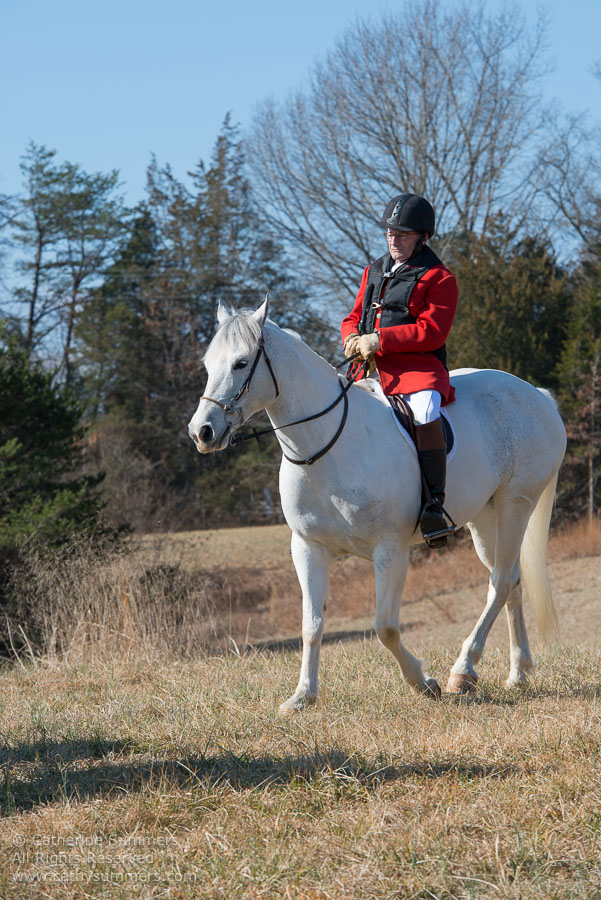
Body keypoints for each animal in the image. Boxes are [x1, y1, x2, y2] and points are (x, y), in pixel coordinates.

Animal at [189, 298, 568, 712]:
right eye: (208, 364)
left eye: (241, 363)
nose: (201, 432)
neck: (326, 445)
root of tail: (535, 394)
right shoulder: (308, 549)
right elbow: (311, 625)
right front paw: (303, 696)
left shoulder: (391, 551)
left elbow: (385, 627)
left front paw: (423, 682)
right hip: (486, 517)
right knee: (510, 579)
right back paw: (518, 673)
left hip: (516, 503)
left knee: (500, 582)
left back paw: (463, 671)